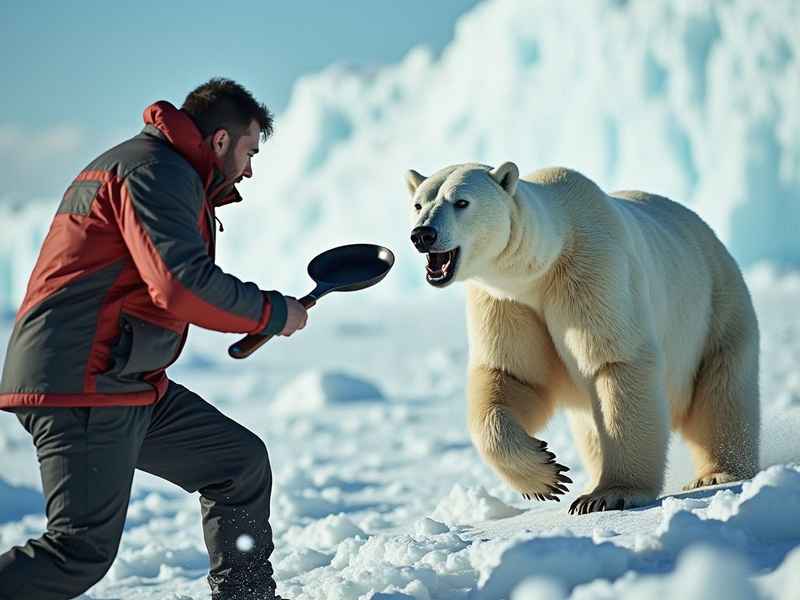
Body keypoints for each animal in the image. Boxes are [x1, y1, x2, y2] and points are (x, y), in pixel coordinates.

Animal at [406, 162, 760, 514]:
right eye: (419, 204)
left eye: (461, 202)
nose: (423, 234)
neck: (542, 265)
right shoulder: (505, 302)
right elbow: (512, 376)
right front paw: (547, 477)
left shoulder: (591, 274)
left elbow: (615, 361)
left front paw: (611, 494)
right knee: (589, 426)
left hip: (717, 308)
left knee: (723, 391)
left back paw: (717, 473)